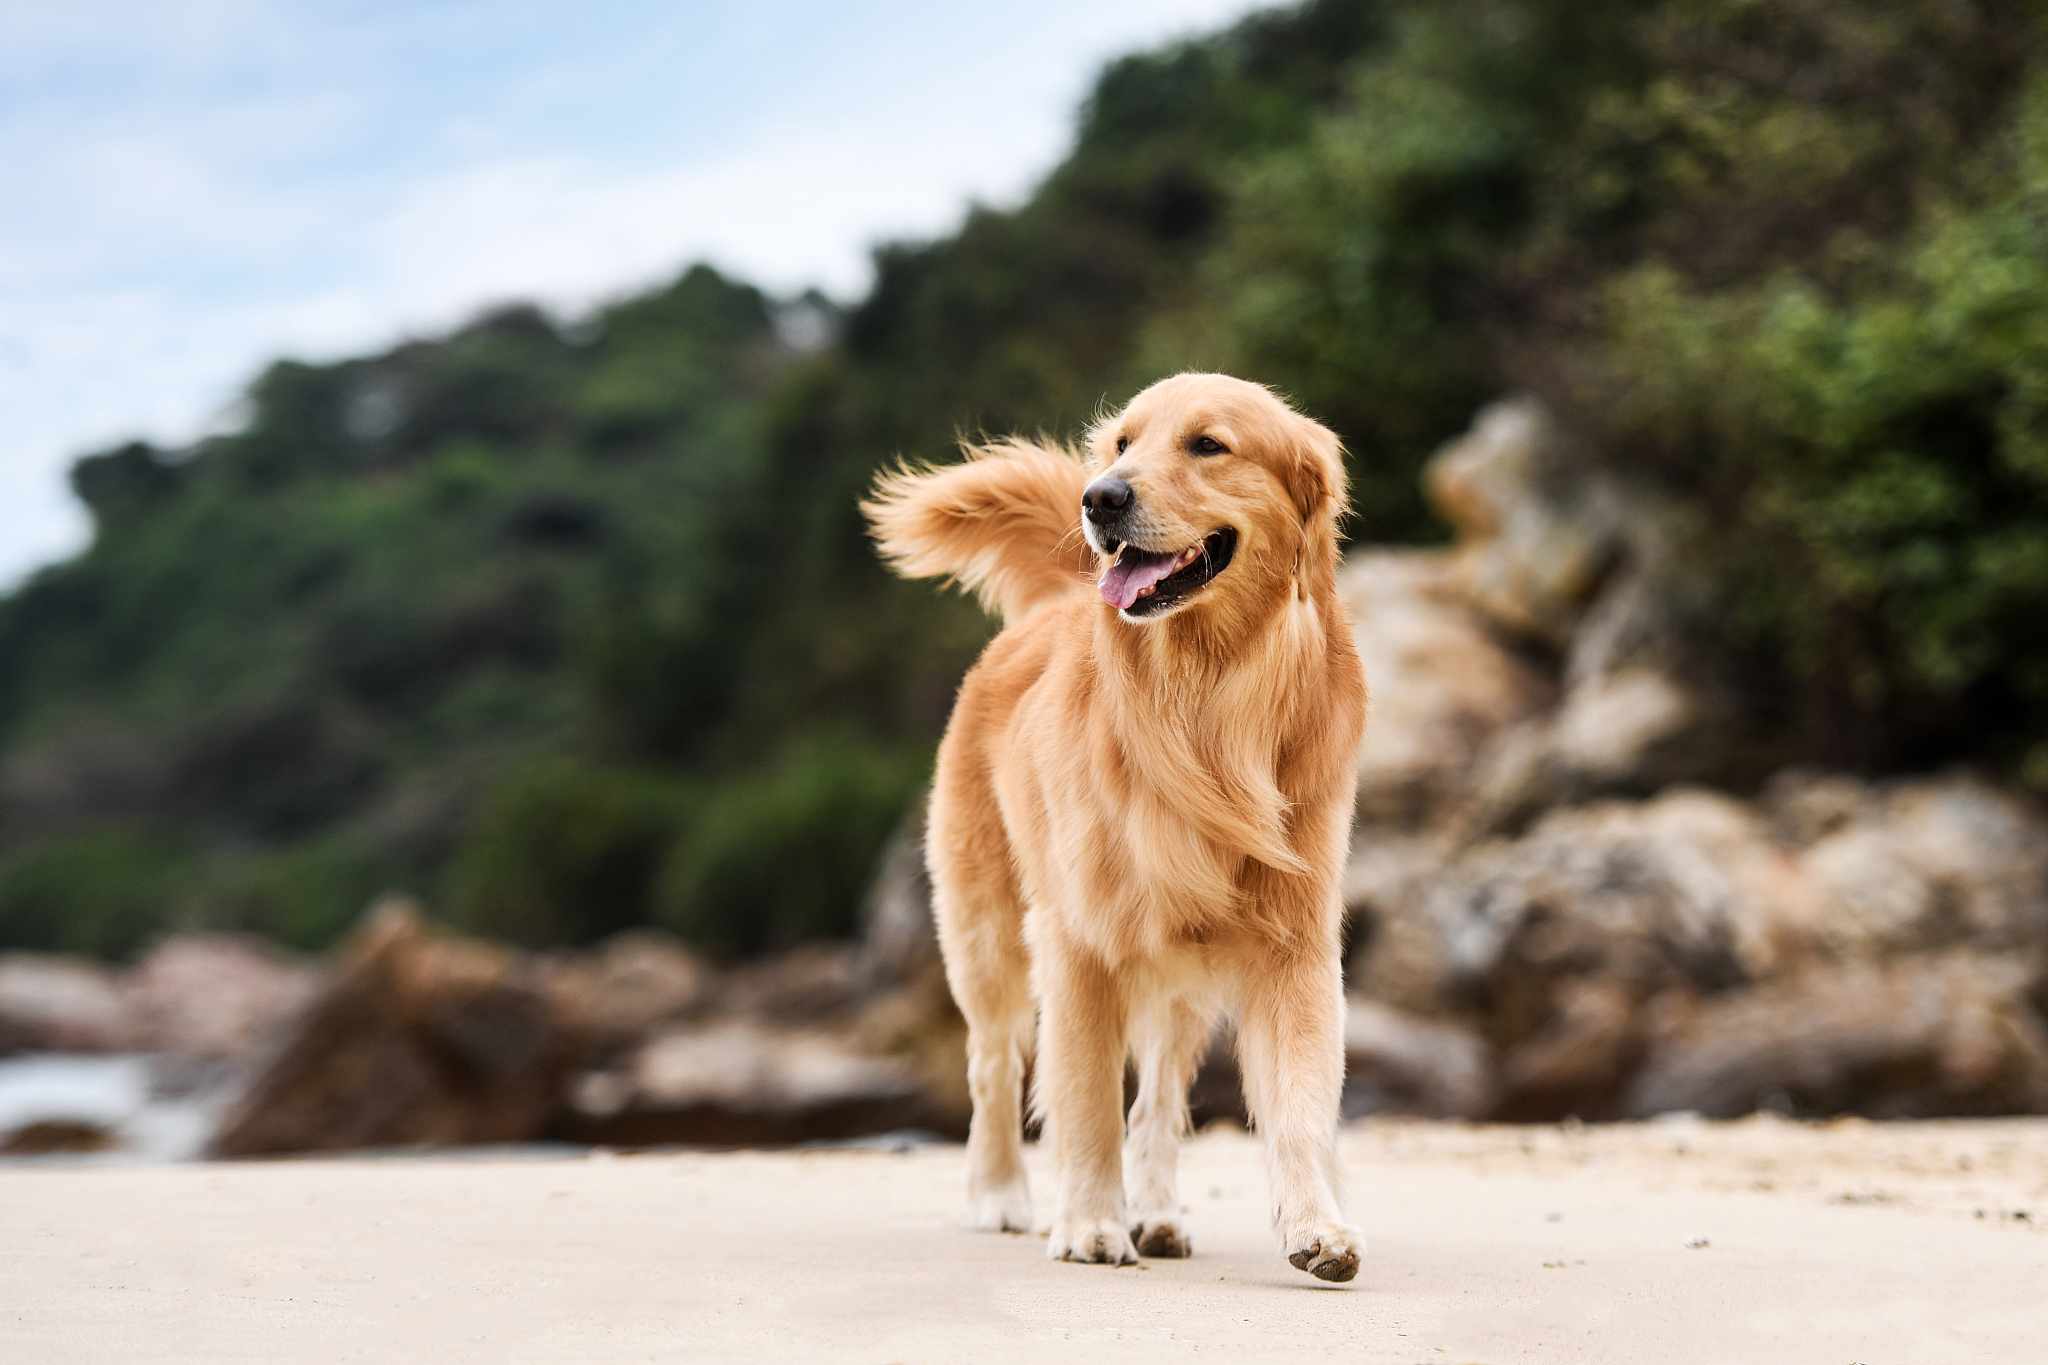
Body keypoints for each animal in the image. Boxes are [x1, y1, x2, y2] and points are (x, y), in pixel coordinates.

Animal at [856, 370, 1368, 1285]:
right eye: (1124, 442)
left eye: (1209, 444)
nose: (1099, 498)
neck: (1205, 696)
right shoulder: (1079, 939)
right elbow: (1087, 1096)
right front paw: (1091, 1223)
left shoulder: (1293, 942)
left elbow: (1301, 1098)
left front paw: (1318, 1226)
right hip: (988, 933)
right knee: (992, 1062)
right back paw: (1001, 1195)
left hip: (1183, 978)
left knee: (1158, 1099)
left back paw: (1157, 1213)